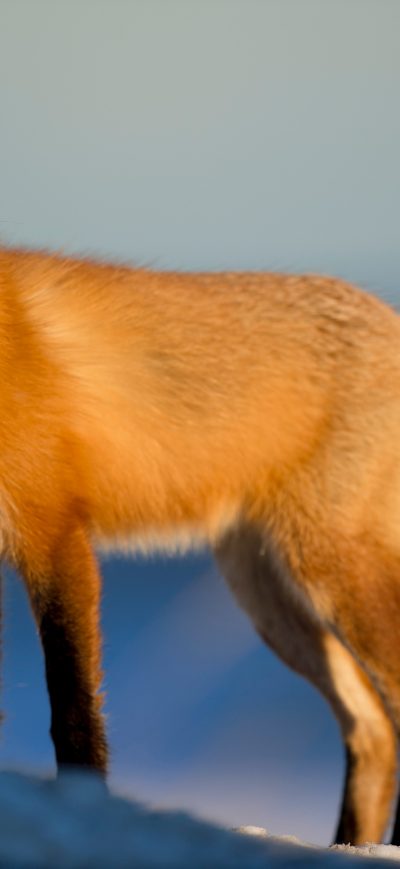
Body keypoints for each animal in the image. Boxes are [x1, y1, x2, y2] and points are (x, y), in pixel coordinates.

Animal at [0, 245, 399, 845]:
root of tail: (385, 316)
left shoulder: (53, 529)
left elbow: (72, 708)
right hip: (271, 600)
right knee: (372, 730)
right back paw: (349, 845)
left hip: (329, 570)